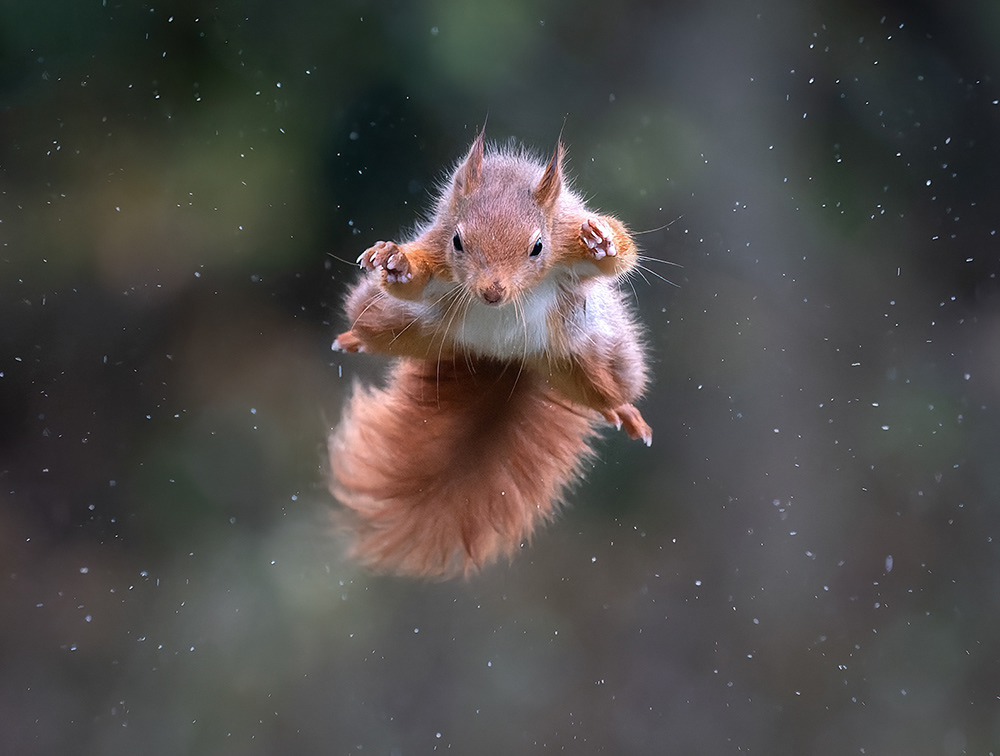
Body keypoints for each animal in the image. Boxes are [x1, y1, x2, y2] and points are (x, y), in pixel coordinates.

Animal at [328, 127, 652, 578]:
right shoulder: (436, 252)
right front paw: (396, 261)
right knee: (377, 324)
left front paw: (602, 240)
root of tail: (506, 358)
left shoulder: (567, 235)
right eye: (457, 241)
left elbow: (620, 259)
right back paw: (353, 338)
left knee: (603, 391)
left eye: (537, 246)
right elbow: (415, 279)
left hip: (591, 355)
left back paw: (623, 411)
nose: (492, 292)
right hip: (400, 321)